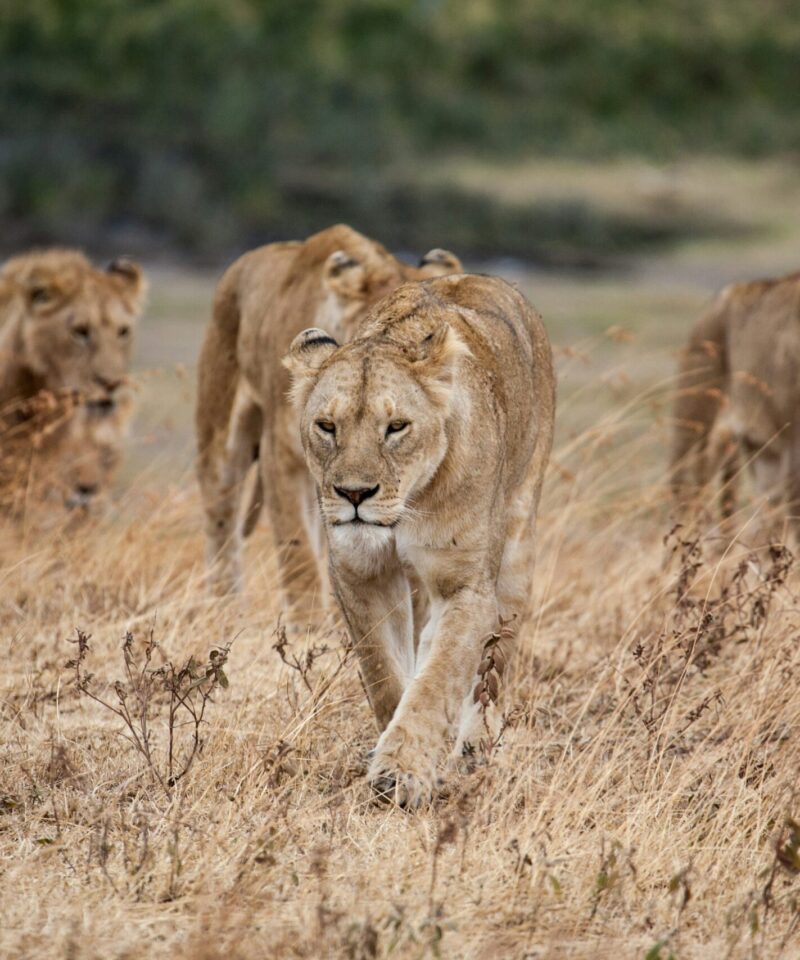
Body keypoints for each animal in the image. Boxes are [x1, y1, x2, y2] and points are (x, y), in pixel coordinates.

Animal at [195, 224, 462, 627]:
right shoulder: (283, 458)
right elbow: (298, 553)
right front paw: (308, 628)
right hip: (221, 434)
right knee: (222, 521)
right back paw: (224, 610)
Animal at [283, 273, 555, 806]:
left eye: (396, 427)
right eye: (326, 426)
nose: (354, 494)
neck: (406, 508)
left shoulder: (466, 586)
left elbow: (439, 679)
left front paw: (401, 774)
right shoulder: (359, 572)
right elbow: (385, 672)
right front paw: (392, 747)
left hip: (517, 548)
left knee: (494, 666)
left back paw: (474, 750)